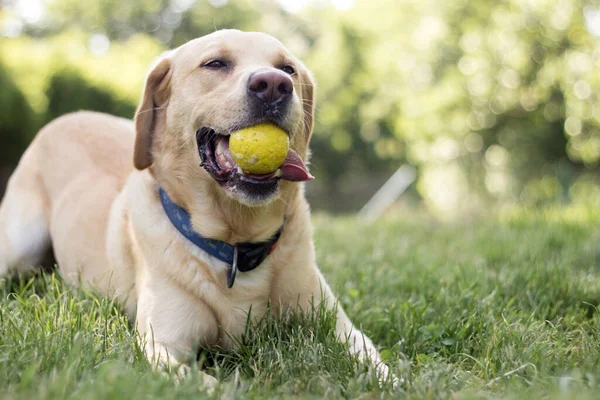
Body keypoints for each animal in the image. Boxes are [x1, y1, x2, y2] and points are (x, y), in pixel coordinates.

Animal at [1, 28, 394, 388]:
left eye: (288, 69)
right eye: (215, 64)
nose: (274, 85)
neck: (235, 245)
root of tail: (61, 119)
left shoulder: (338, 326)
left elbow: (377, 364)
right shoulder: (163, 347)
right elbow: (210, 386)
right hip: (19, 249)